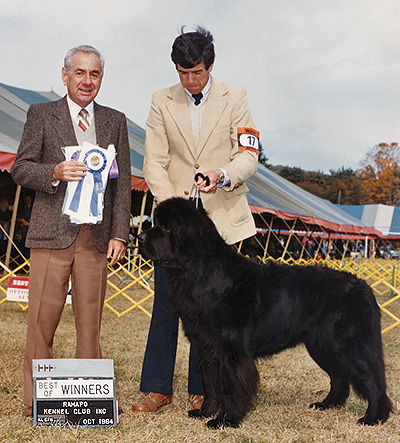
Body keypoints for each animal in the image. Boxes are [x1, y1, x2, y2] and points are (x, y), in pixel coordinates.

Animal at [139, 198, 392, 430]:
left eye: (166, 228)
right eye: (156, 223)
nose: (140, 237)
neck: (202, 271)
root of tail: (364, 286)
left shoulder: (232, 350)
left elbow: (231, 387)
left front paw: (225, 420)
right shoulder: (206, 347)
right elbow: (210, 384)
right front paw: (204, 412)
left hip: (350, 345)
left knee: (372, 379)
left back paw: (374, 417)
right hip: (323, 346)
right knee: (339, 377)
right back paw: (327, 404)